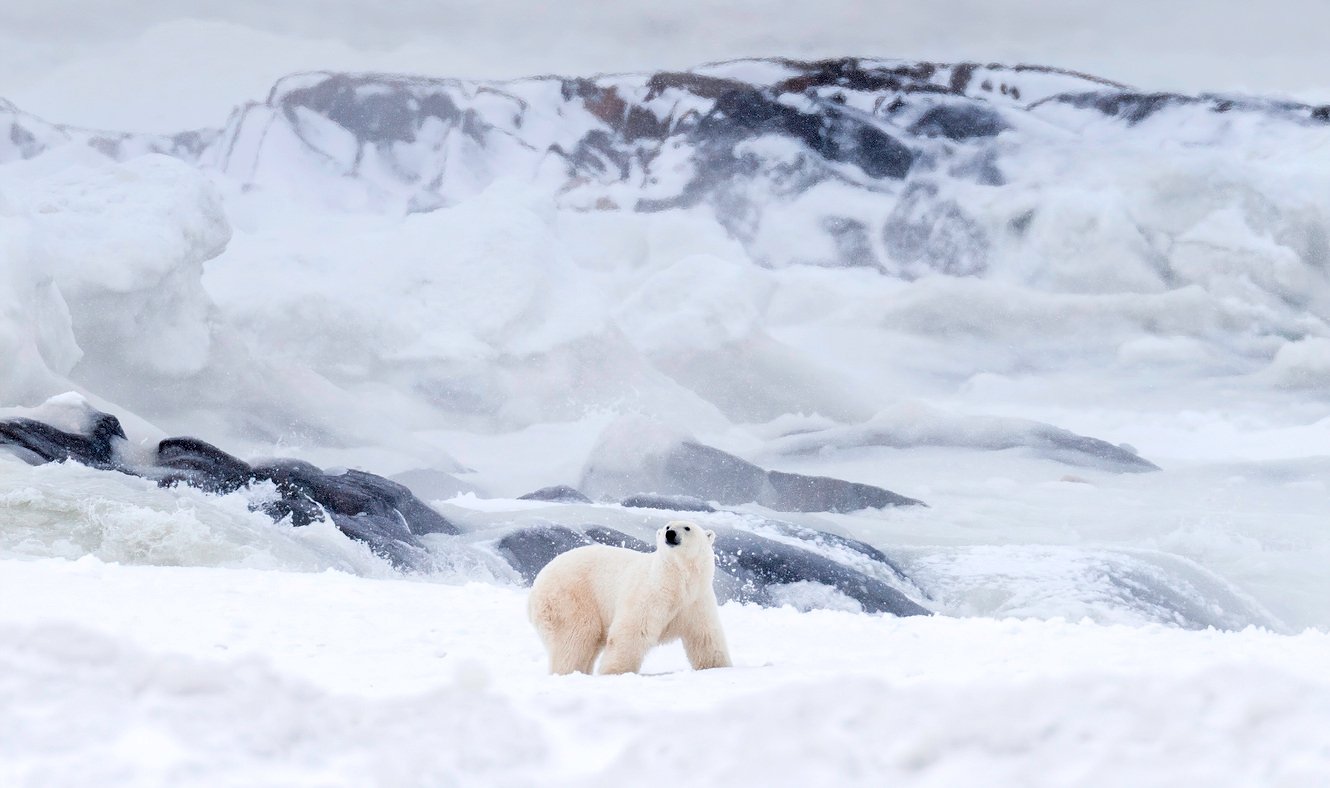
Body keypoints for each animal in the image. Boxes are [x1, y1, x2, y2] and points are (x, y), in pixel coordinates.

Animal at [529, 519, 734, 673]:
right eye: (667, 526)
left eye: (687, 527)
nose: (670, 534)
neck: (675, 582)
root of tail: (534, 590)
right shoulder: (649, 594)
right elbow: (632, 631)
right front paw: (616, 672)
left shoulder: (696, 599)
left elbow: (705, 636)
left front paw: (720, 667)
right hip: (570, 597)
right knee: (575, 637)